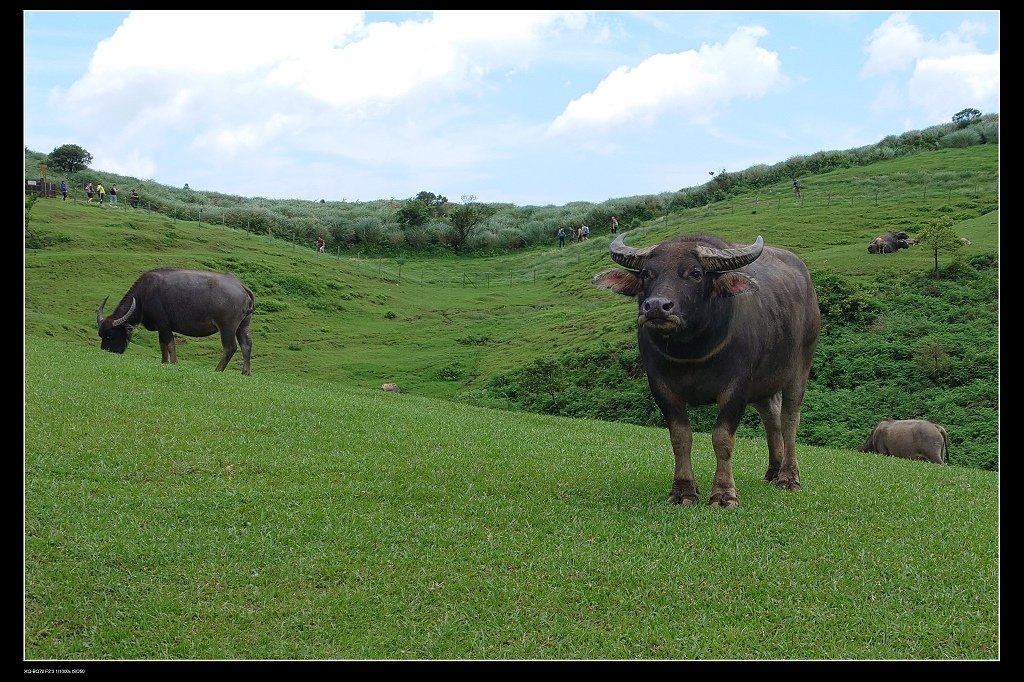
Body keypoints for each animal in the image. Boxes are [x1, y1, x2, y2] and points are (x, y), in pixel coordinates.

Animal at [96, 266, 256, 374]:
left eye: (111, 335)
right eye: (101, 335)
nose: (105, 351)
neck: (144, 296)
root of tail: (240, 286)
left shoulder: (164, 324)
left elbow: (170, 344)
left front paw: (173, 363)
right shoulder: (161, 328)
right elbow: (162, 345)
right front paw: (164, 362)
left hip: (227, 327)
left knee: (230, 347)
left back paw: (217, 370)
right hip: (243, 325)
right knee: (246, 344)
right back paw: (245, 372)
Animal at [593, 233, 823, 503]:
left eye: (695, 273)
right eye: (647, 274)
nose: (657, 307)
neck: (691, 351)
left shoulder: (737, 387)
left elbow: (722, 438)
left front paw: (724, 494)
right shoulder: (660, 387)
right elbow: (680, 437)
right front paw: (683, 490)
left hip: (801, 366)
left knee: (789, 418)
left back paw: (788, 477)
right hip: (763, 386)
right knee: (772, 418)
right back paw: (773, 472)